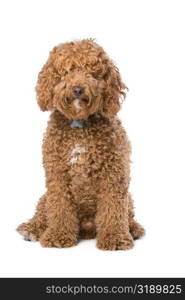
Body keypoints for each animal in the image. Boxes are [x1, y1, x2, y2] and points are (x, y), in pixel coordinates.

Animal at [17, 39, 145, 251]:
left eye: (92, 72)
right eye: (67, 70)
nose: (78, 89)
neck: (79, 124)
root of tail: (87, 229)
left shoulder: (114, 173)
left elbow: (113, 209)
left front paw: (115, 238)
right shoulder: (57, 174)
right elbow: (59, 208)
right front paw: (58, 236)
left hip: (128, 198)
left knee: (127, 214)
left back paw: (133, 229)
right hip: (45, 197)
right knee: (43, 211)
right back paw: (32, 229)